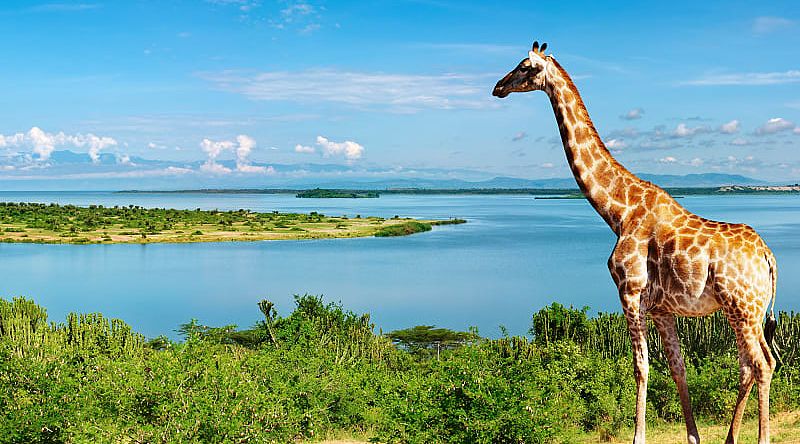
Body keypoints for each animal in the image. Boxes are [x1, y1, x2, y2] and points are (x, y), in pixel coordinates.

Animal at [490, 40, 780, 442]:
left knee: (762, 364)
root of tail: (768, 257)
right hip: (745, 311)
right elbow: (677, 367)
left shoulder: (629, 291)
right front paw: (693, 436)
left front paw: (637, 435)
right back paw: (730, 437)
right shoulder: (661, 309)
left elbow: (640, 367)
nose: (497, 87)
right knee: (750, 365)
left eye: (524, 67)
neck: (618, 211)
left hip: (743, 307)